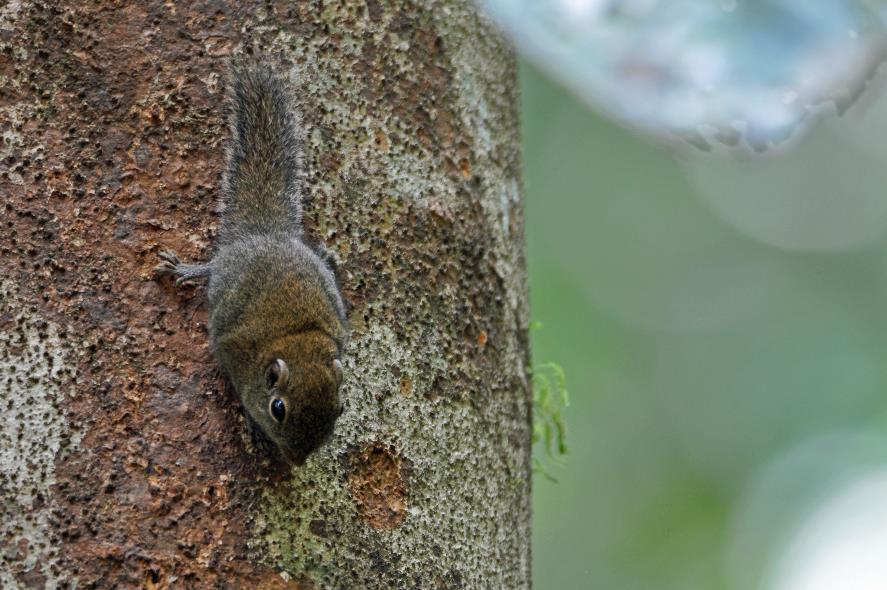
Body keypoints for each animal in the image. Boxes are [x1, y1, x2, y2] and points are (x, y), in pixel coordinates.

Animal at [154, 66, 348, 468]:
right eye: (278, 409)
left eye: (340, 410)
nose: (297, 460)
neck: (297, 338)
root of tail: (266, 233)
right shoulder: (233, 349)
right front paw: (250, 423)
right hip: (227, 270)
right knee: (213, 268)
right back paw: (185, 270)